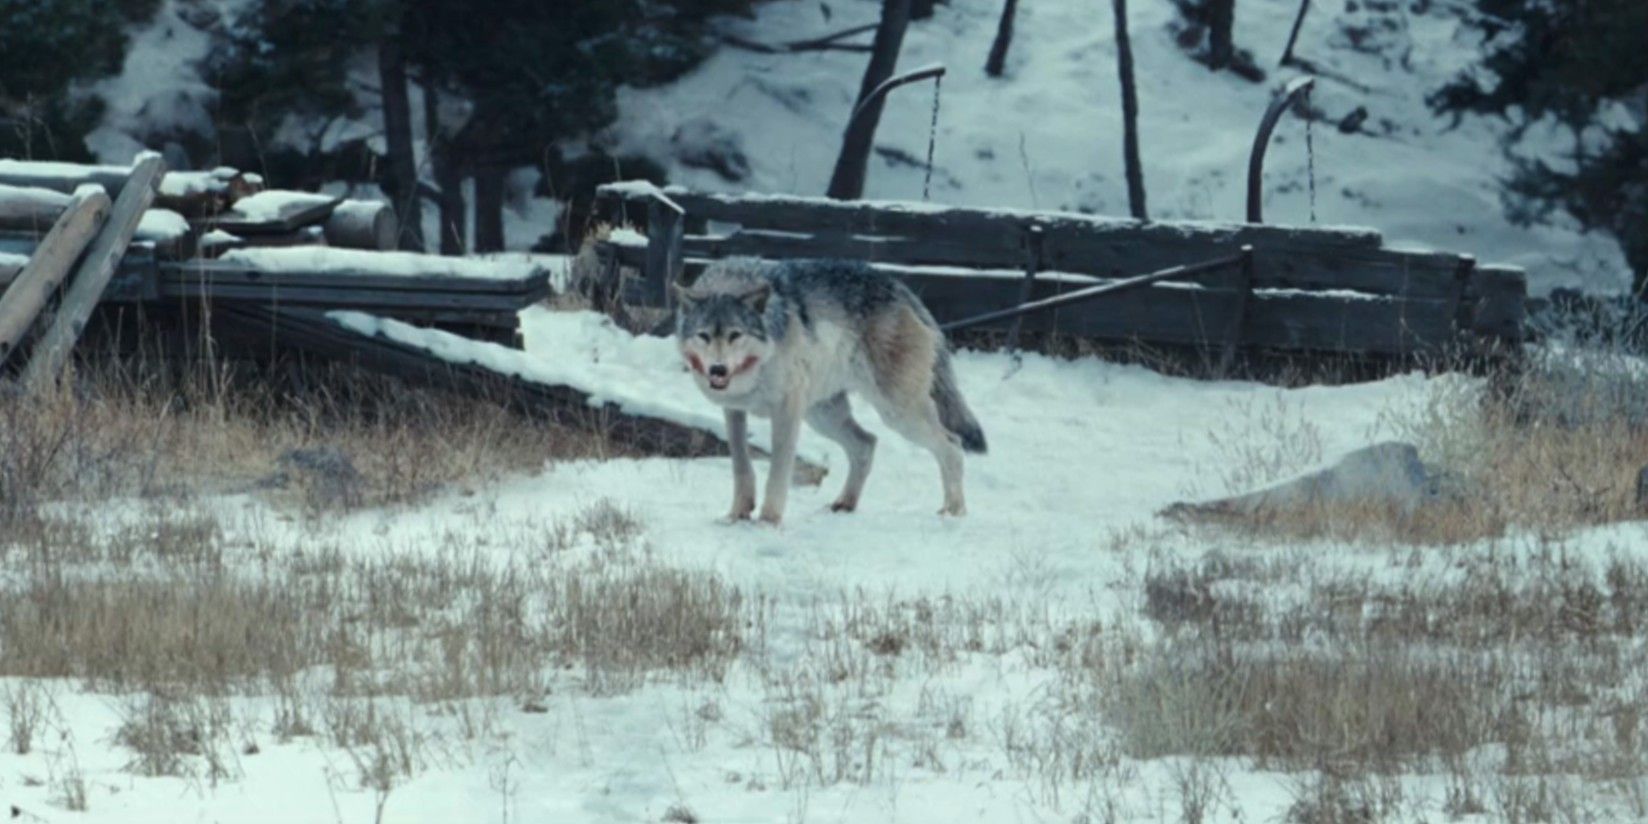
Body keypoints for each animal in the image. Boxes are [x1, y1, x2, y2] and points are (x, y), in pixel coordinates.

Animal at [675, 260, 982, 524]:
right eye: (703, 335)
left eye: (735, 335)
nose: (718, 369)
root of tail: (905, 293)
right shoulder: (734, 410)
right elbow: (741, 467)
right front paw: (736, 516)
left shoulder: (787, 409)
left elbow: (778, 472)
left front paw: (768, 521)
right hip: (824, 417)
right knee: (867, 443)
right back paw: (845, 504)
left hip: (897, 415)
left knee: (953, 446)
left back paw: (954, 512)